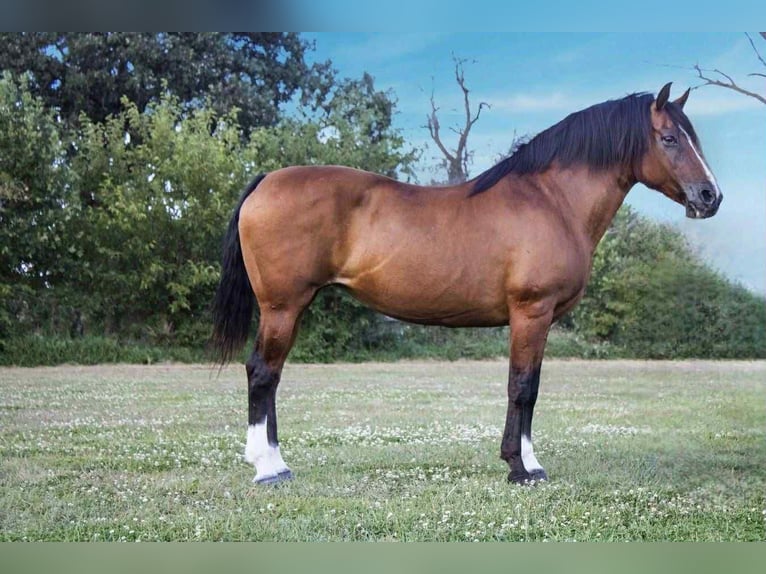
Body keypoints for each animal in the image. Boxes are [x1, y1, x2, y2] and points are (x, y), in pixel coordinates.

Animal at [211, 83, 722, 485]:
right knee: (262, 372)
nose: (710, 196)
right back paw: (269, 468)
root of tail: (265, 182)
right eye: (670, 138)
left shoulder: (540, 320)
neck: (552, 200)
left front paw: (527, 463)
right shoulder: (531, 312)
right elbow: (522, 387)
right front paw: (521, 468)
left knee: (271, 375)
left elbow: (531, 386)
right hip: (282, 305)